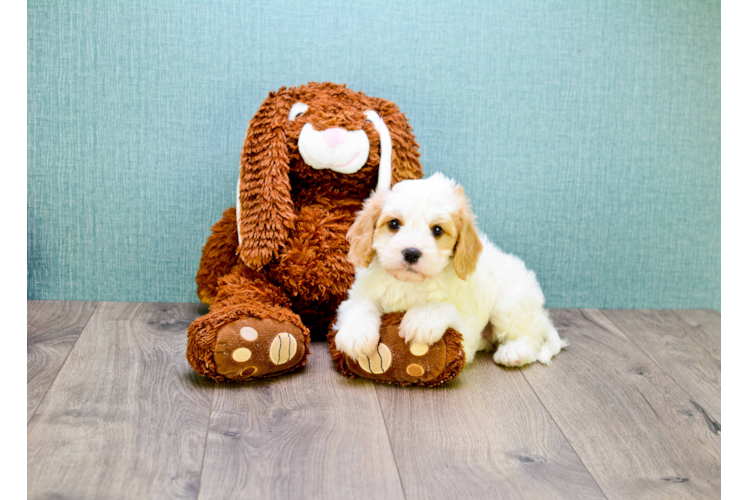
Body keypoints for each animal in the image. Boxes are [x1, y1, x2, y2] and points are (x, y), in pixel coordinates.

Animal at [334, 173, 568, 368]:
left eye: (437, 230)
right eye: (393, 224)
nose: (411, 253)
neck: (409, 284)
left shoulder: (467, 327)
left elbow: (445, 307)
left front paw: (421, 320)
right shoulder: (360, 294)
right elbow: (359, 306)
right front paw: (356, 334)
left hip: (509, 304)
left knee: (530, 335)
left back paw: (514, 352)